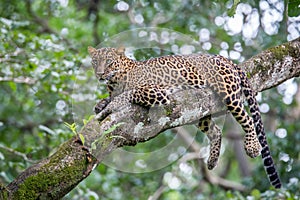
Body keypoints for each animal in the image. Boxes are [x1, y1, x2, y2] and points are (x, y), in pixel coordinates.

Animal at [88, 46, 282, 188]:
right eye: (95, 62)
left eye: (109, 62)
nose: (100, 74)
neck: (114, 82)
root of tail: (226, 59)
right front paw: (100, 104)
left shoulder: (157, 92)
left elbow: (129, 93)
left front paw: (111, 104)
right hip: (197, 109)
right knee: (215, 131)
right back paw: (212, 161)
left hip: (229, 94)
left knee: (247, 119)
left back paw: (252, 147)